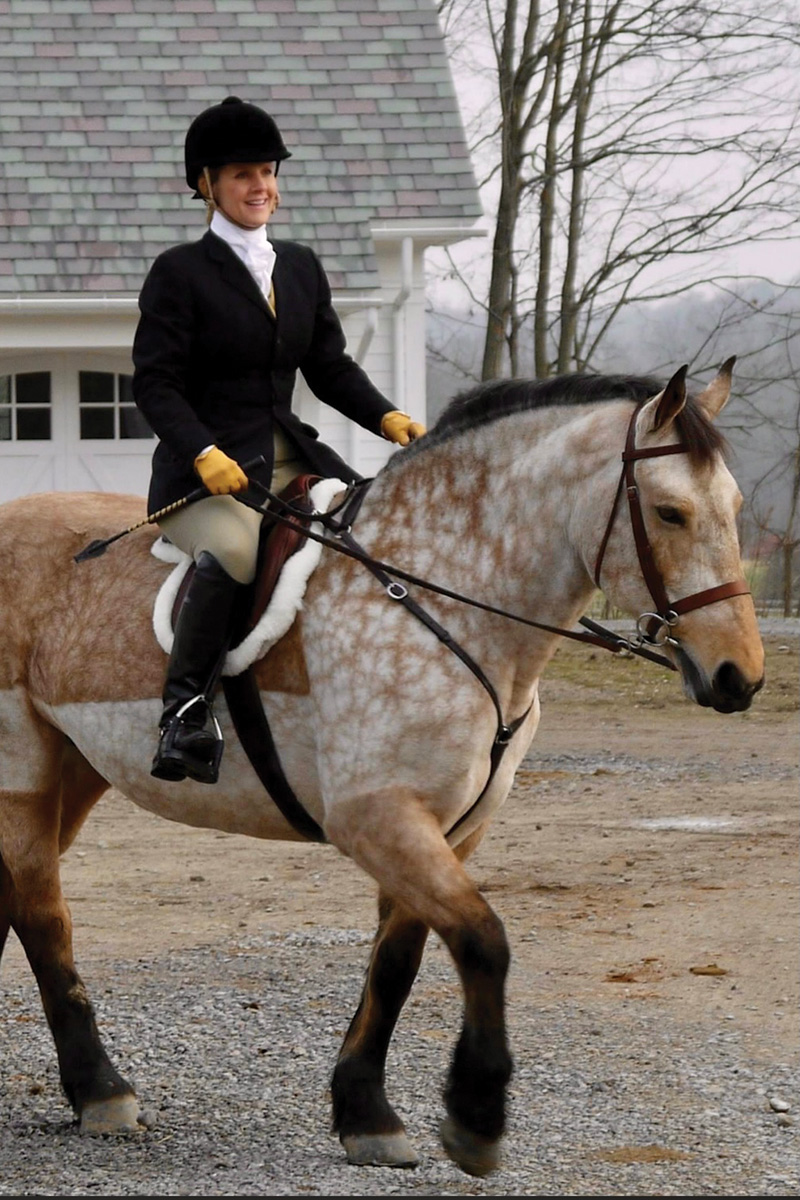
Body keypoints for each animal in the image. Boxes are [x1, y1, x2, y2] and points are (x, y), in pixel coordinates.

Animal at [0, 362, 767, 1171]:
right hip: (23, 768)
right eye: (671, 513)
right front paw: (475, 1117)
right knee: (43, 916)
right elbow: (484, 940)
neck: (444, 598)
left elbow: (398, 961)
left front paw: (367, 1113)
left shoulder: (452, 825)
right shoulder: (377, 816)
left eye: (734, 506)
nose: (738, 677)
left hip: (77, 770)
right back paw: (101, 1091)